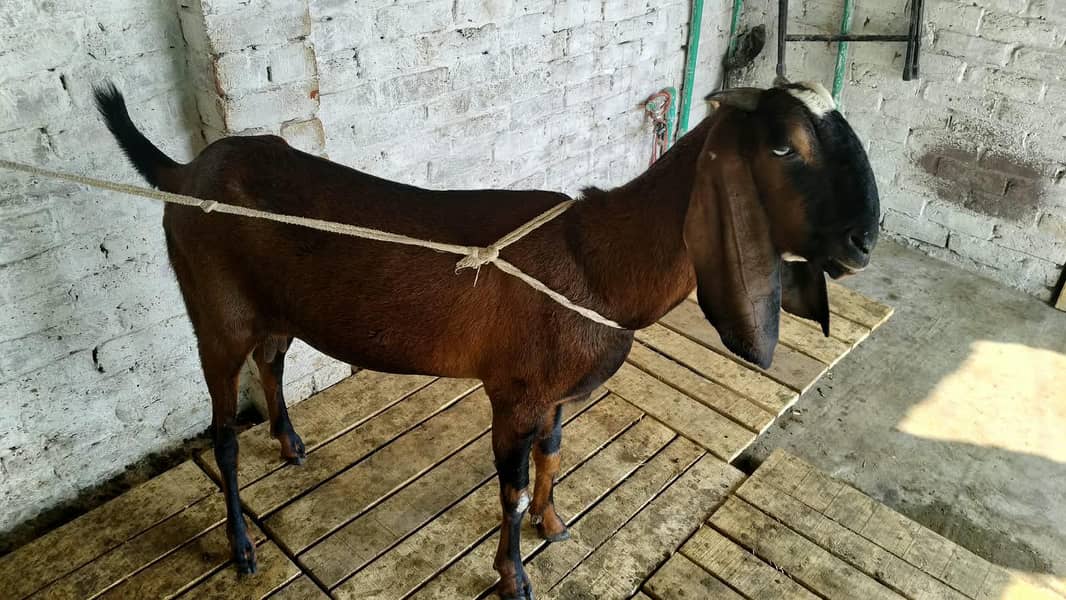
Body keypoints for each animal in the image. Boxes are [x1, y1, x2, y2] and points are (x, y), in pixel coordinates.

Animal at [94, 80, 879, 599]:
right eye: (783, 146)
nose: (865, 239)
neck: (596, 259)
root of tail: (185, 171)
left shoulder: (553, 393)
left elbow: (555, 453)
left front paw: (557, 525)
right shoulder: (514, 392)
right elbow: (510, 491)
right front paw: (515, 575)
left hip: (274, 307)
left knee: (273, 360)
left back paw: (289, 442)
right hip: (214, 311)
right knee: (223, 433)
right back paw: (241, 546)